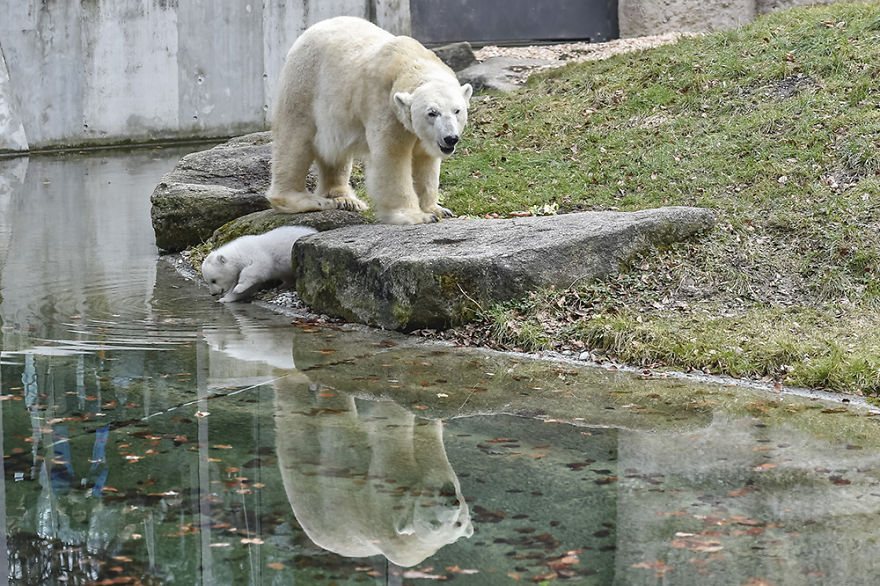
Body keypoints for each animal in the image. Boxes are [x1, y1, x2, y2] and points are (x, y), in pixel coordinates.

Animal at [266, 17, 470, 224]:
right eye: (432, 113)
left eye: (457, 111)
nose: (450, 138)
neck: (411, 61)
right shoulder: (386, 108)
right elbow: (391, 158)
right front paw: (416, 216)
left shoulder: (422, 133)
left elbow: (425, 161)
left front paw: (438, 209)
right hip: (305, 85)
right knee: (295, 140)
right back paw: (305, 200)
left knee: (334, 154)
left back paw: (345, 199)